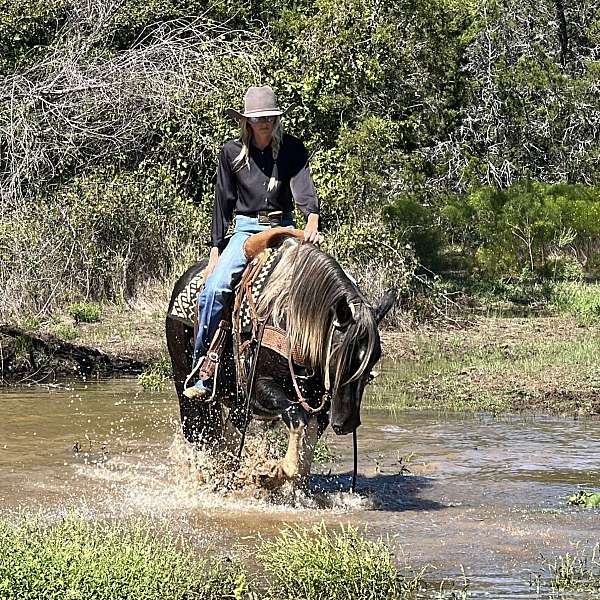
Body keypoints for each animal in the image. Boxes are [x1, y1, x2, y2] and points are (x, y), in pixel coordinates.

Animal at [166, 234, 396, 488]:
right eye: (338, 355)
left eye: (374, 358)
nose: (346, 423)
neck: (292, 321)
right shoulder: (259, 387)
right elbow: (296, 416)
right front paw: (272, 472)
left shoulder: (319, 404)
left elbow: (307, 450)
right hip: (187, 389)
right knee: (200, 433)